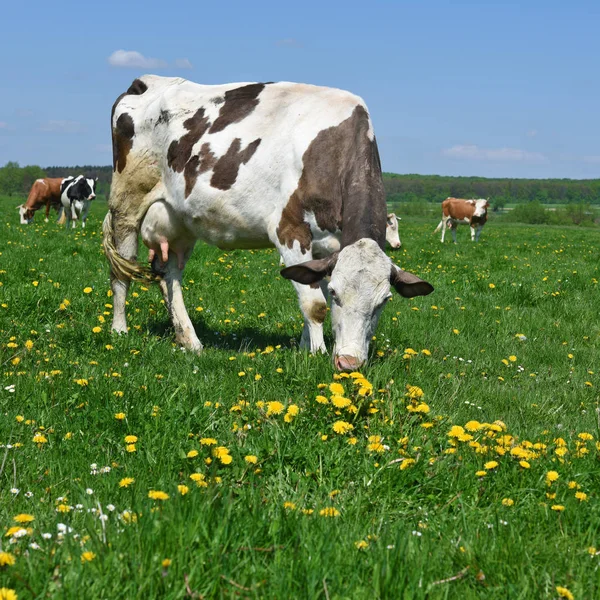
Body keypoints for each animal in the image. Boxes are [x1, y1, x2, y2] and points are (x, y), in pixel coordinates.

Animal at [102, 75, 432, 370]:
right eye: (338, 294)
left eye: (384, 301)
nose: (349, 362)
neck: (332, 149)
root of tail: (144, 82)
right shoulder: (290, 230)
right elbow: (315, 304)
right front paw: (317, 353)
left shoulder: (328, 248)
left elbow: (310, 288)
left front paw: (305, 347)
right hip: (126, 203)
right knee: (122, 268)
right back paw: (120, 330)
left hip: (179, 220)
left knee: (169, 274)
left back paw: (190, 340)